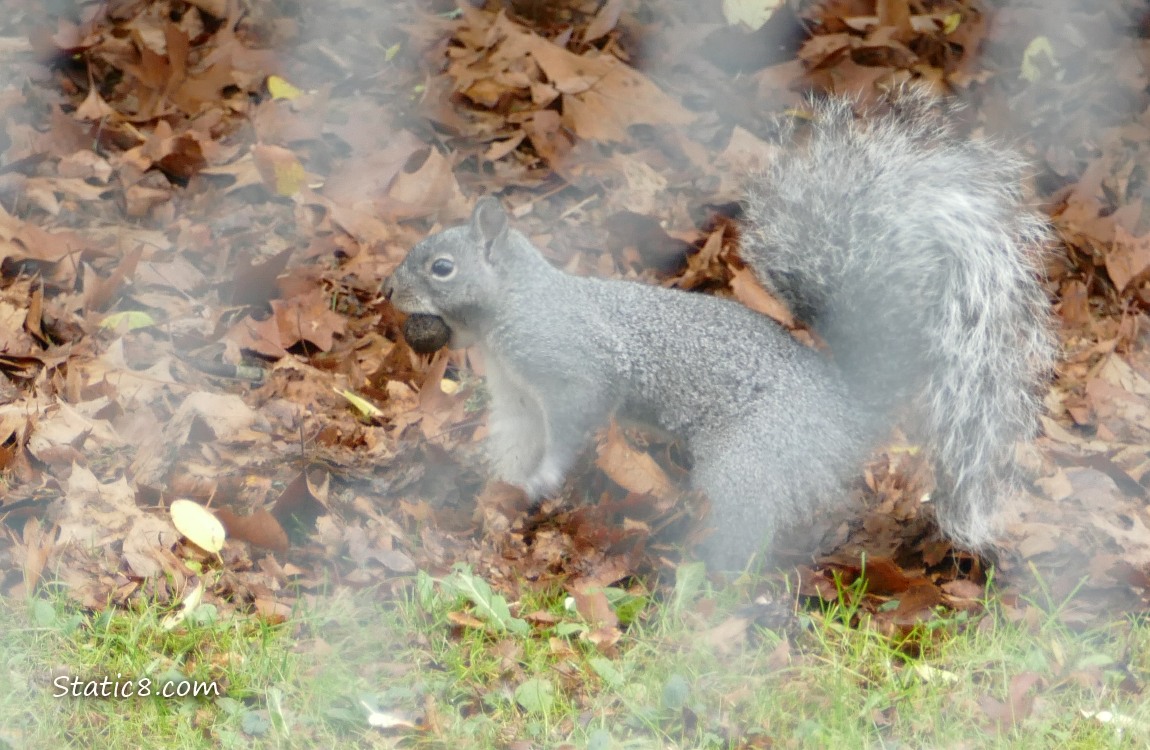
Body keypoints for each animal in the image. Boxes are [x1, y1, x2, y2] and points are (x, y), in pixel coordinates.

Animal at [383, 88, 1056, 569]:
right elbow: (517, 440)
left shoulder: (569, 364)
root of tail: (848, 403)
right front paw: (501, 491)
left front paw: (546, 477)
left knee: (747, 527)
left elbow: (577, 415)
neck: (510, 311)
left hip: (752, 457)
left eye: (442, 268)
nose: (388, 290)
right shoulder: (518, 394)